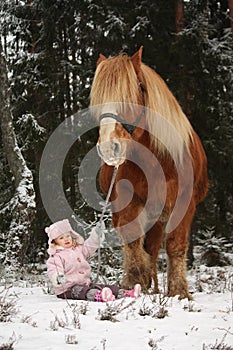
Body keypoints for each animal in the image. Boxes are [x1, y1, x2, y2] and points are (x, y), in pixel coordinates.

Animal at [89, 45, 208, 300]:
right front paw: (136, 281)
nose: (109, 147)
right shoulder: (128, 202)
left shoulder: (184, 204)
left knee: (153, 248)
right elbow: (132, 242)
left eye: (132, 93)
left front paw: (178, 291)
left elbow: (174, 245)